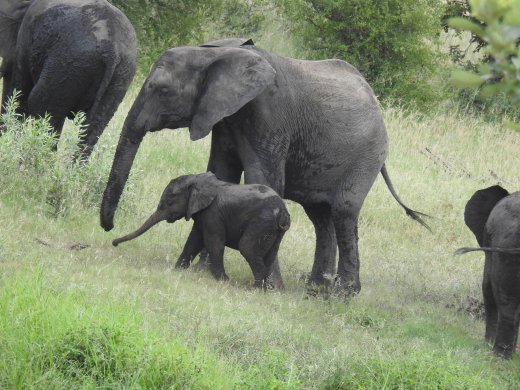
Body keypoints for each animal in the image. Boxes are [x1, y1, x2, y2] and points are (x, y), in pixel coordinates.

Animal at [0, 0, 137, 158]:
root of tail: (112, 49)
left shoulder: (25, 38)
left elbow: (19, 99)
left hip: (69, 62)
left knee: (41, 106)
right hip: (121, 75)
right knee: (93, 129)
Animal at [112, 172, 290, 288]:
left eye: (169, 202)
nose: (114, 243)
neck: (197, 180)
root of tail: (283, 212)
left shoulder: (213, 213)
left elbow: (213, 243)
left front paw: (224, 281)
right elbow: (193, 240)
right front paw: (178, 270)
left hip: (261, 222)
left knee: (247, 248)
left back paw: (255, 289)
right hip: (272, 230)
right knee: (270, 255)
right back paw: (267, 290)